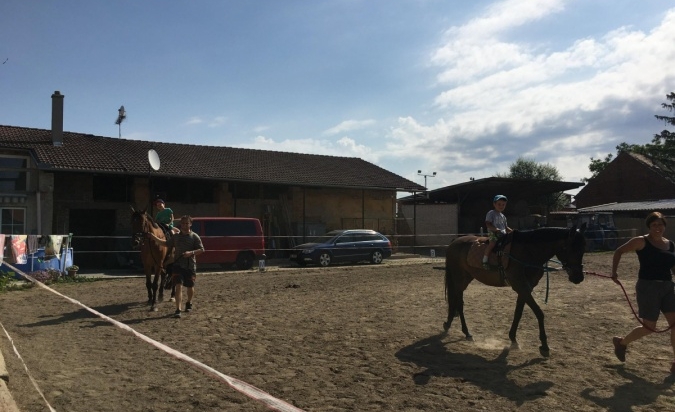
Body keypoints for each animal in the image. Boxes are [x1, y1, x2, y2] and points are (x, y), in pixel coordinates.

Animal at [444, 224, 588, 356]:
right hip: (459, 279)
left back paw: (449, 324)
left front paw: (513, 339)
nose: (578, 277)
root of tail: (455, 241)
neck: (528, 252)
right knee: (459, 303)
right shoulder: (521, 286)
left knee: (455, 301)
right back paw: (466, 332)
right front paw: (544, 346)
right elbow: (539, 313)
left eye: (583, 250)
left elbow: (518, 312)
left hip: (466, 278)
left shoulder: (526, 287)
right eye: (572, 249)